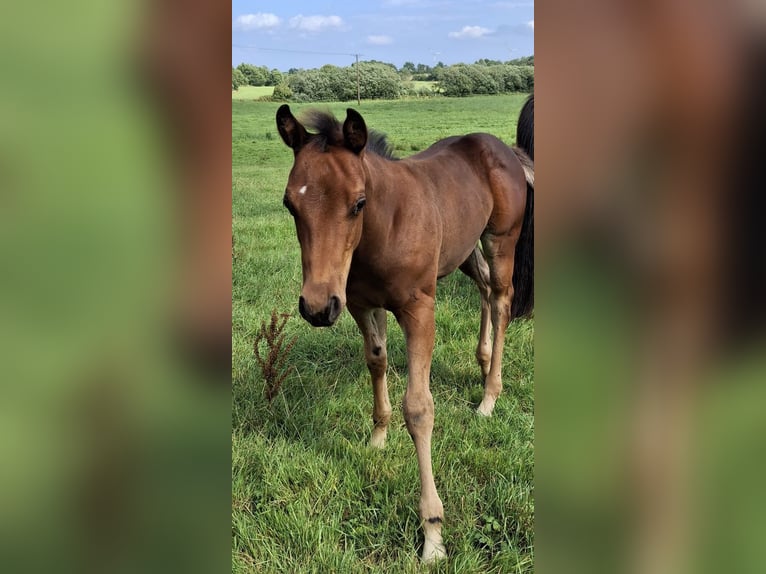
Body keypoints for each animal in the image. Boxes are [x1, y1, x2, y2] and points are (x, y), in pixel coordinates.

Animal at [276, 104, 534, 562]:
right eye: (290, 204)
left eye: (358, 202)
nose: (317, 308)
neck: (385, 227)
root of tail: (503, 148)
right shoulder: (359, 304)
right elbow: (376, 361)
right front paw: (378, 436)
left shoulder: (419, 310)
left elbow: (419, 408)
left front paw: (432, 533)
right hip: (462, 248)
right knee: (485, 288)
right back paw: (482, 361)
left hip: (501, 240)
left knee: (502, 298)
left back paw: (489, 396)